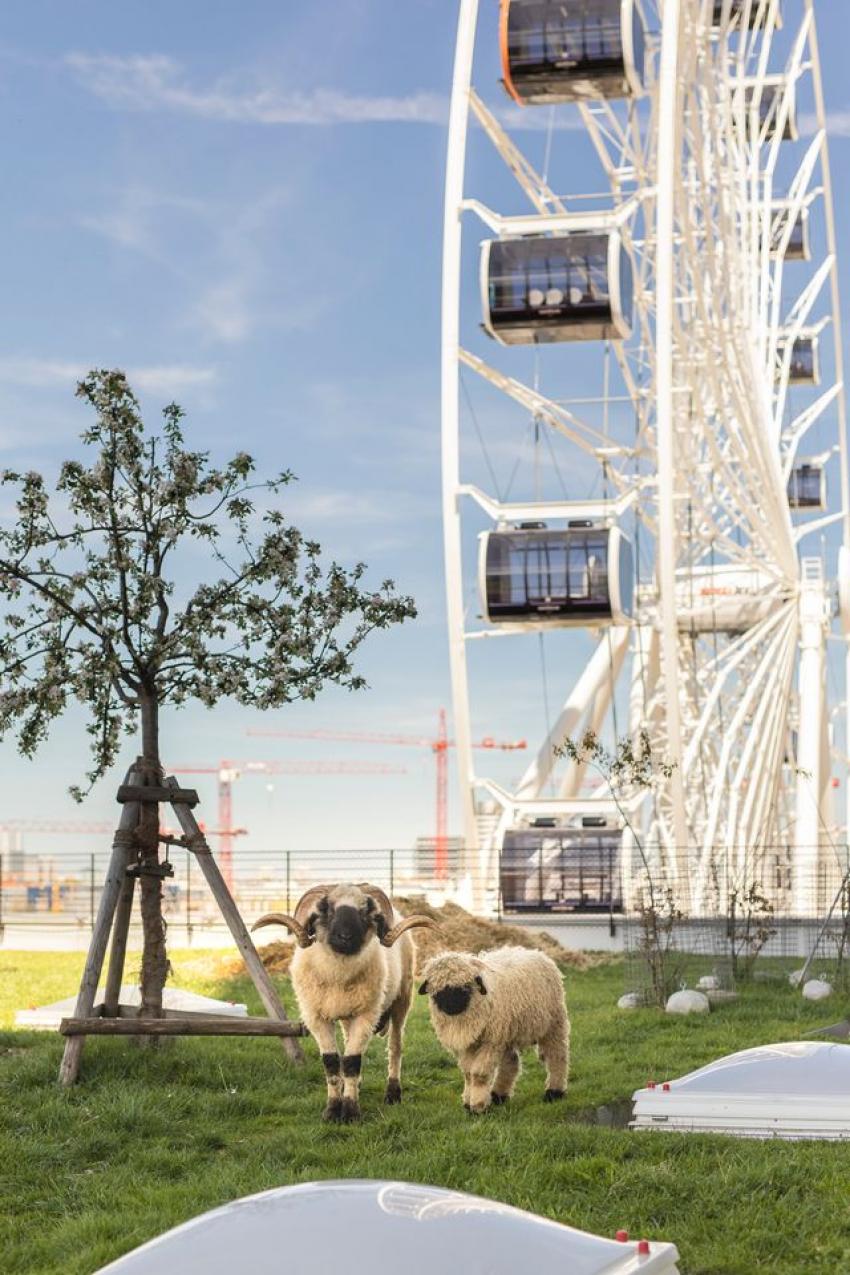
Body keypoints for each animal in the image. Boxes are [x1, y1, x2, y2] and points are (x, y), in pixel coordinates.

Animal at [253, 883, 438, 1123]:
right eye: (328, 910)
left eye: (364, 911)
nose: (345, 937)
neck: (338, 976)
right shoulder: (317, 1018)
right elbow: (332, 1062)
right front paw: (332, 1110)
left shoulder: (366, 1015)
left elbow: (351, 1061)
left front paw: (350, 1112)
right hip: (347, 1016)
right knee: (350, 1041)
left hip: (402, 999)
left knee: (395, 1047)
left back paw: (393, 1093)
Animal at [419, 947, 570, 1114]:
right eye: (437, 991)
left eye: (465, 987)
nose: (451, 1007)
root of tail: (536, 952)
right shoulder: (469, 1045)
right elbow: (468, 1073)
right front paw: (468, 1102)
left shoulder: (490, 1042)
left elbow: (478, 1073)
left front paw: (477, 1106)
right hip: (507, 1032)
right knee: (511, 1062)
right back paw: (499, 1095)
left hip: (554, 1023)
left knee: (557, 1056)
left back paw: (554, 1092)